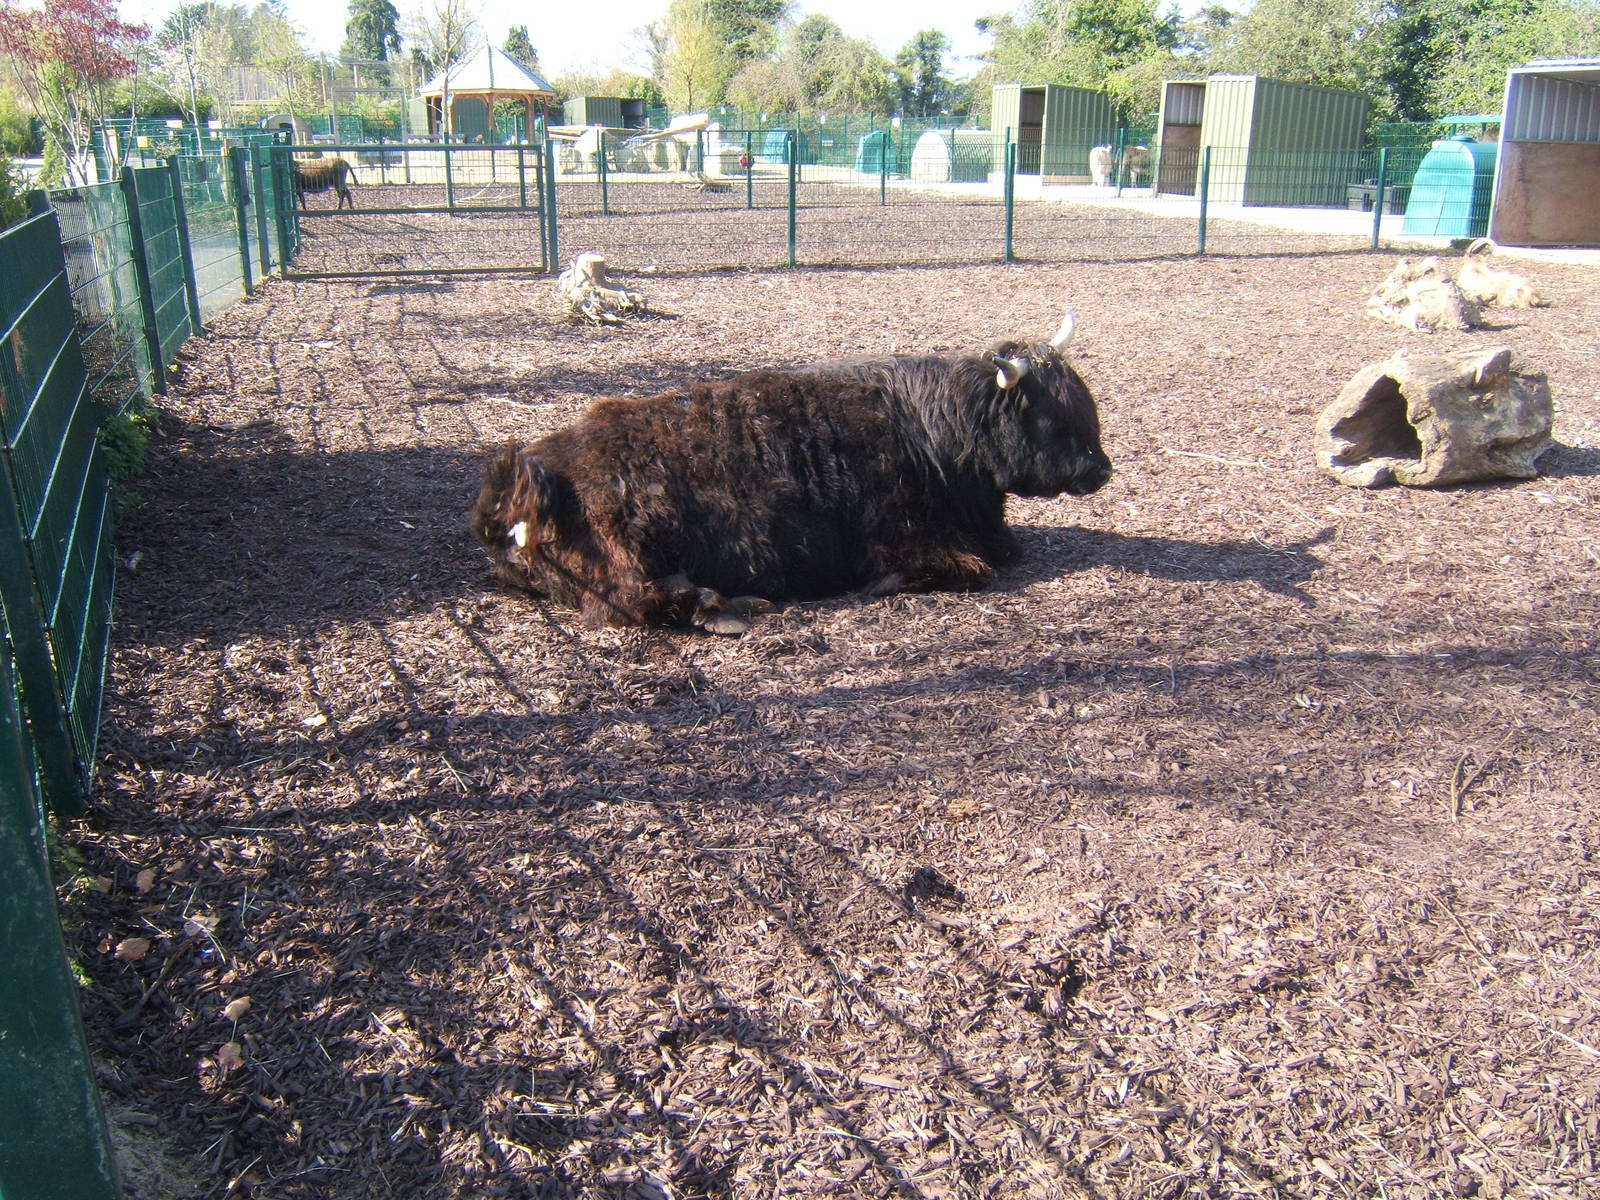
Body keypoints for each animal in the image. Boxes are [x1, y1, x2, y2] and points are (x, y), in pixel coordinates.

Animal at [472, 311, 1112, 634]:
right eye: (1051, 414)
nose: (1100, 470)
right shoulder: (916, 543)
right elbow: (962, 569)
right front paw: (880, 585)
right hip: (626, 554)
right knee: (640, 602)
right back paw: (734, 609)